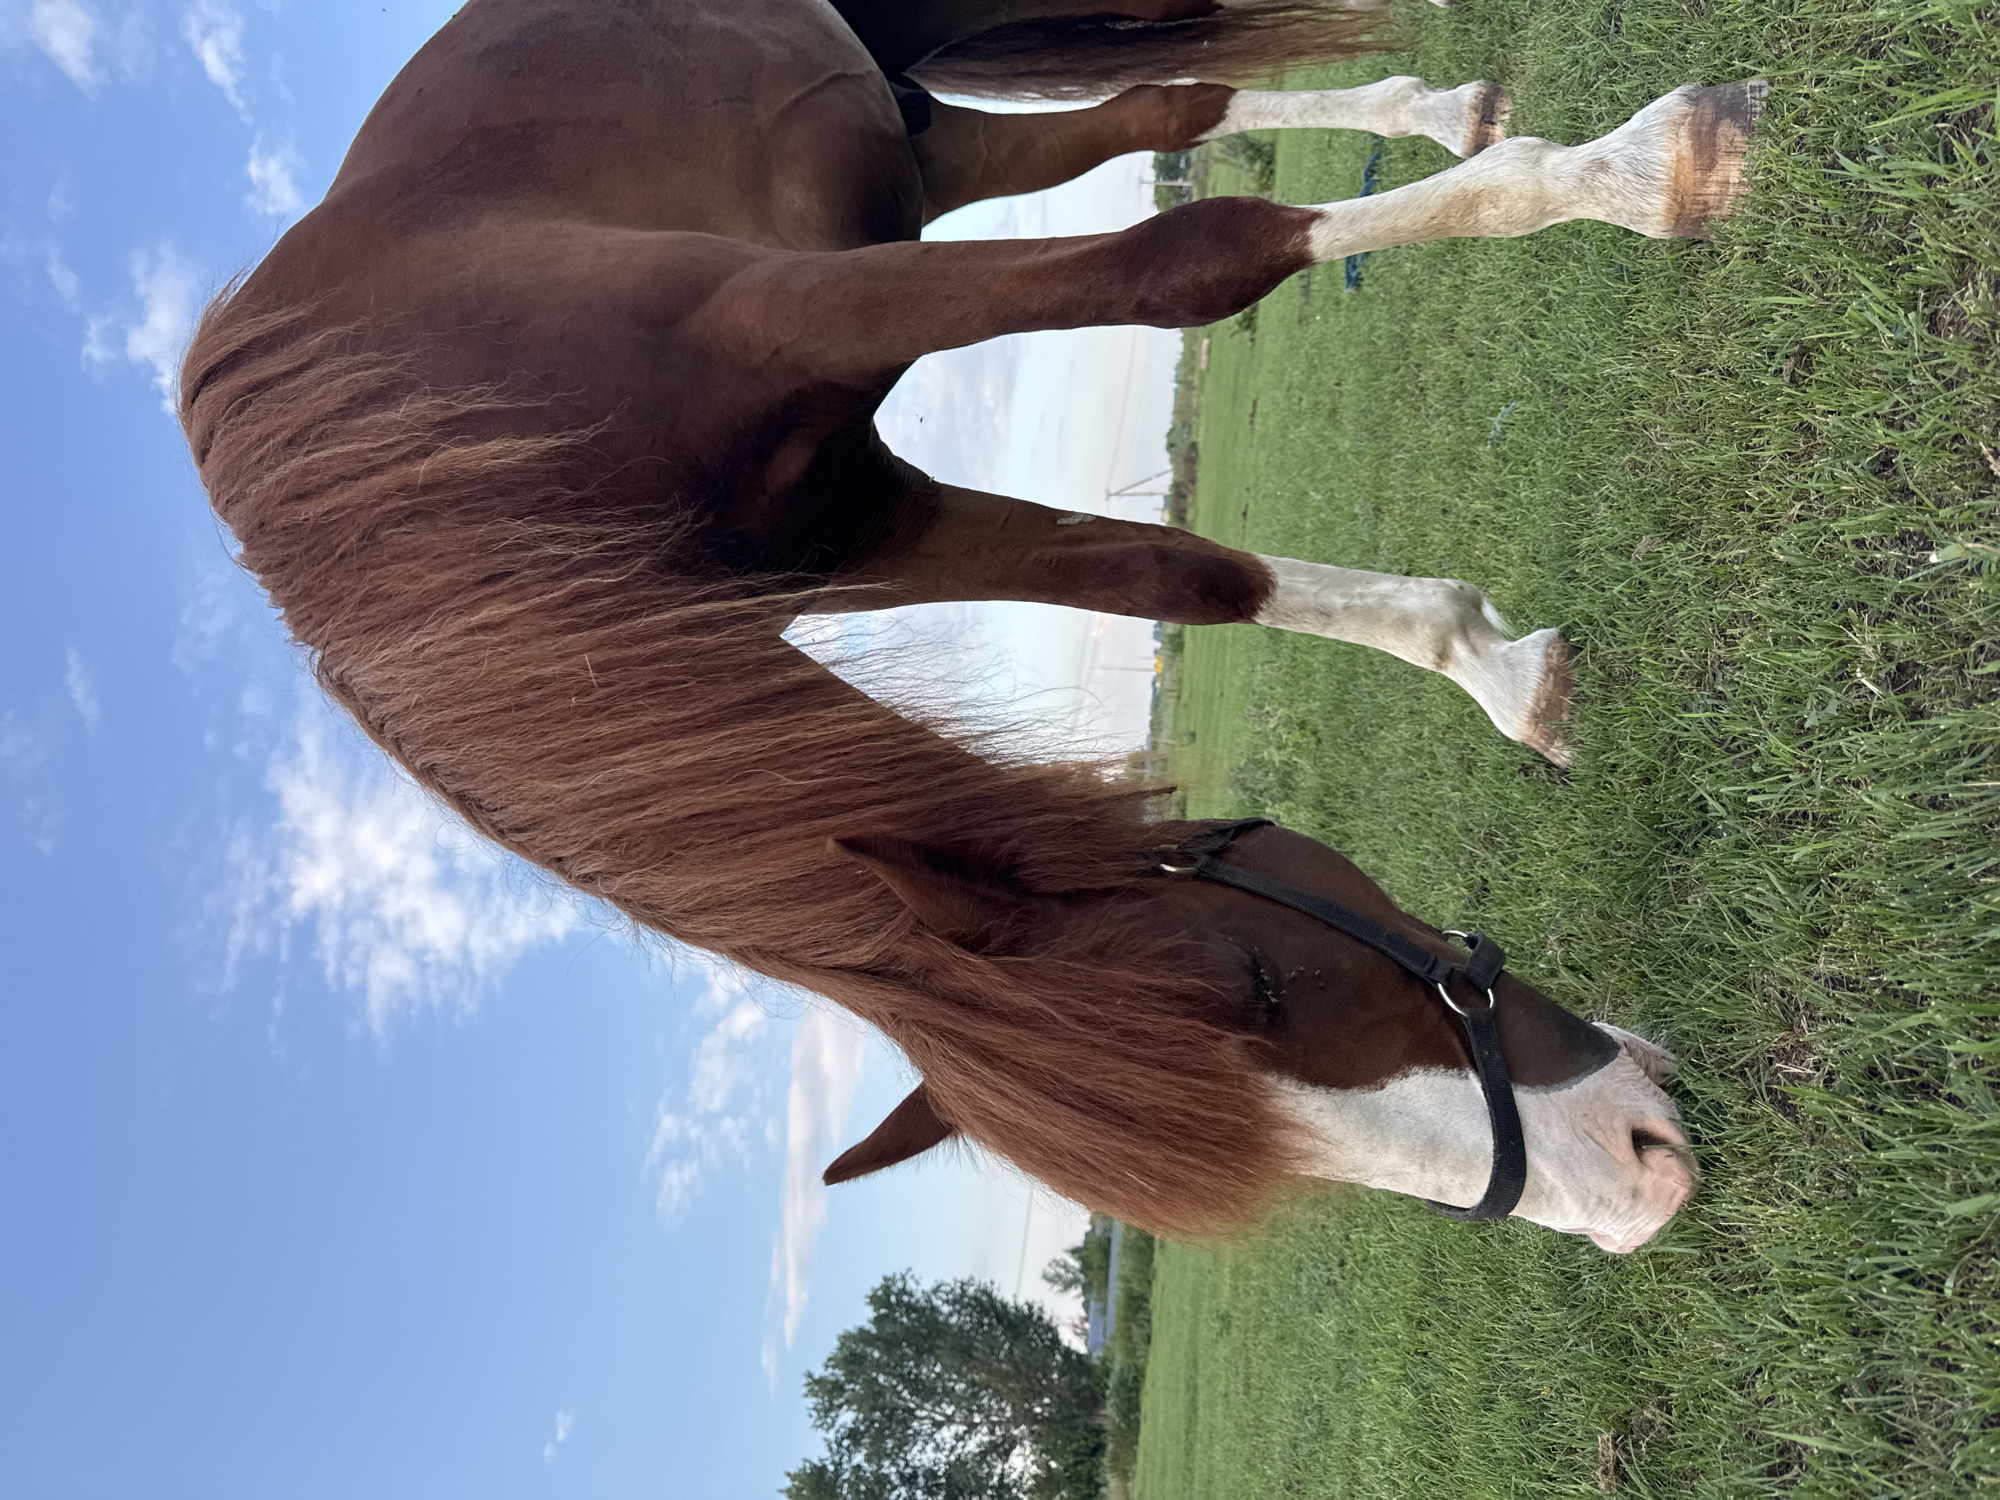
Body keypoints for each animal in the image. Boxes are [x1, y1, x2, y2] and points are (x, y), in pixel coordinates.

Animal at [179, 0, 1758, 1251]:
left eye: (1251, 978)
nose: (1636, 1188)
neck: (441, 465)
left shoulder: (788, 310)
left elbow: (1192, 259)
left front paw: (1636, 172)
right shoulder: (874, 535)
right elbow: (1186, 581)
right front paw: (1494, 668)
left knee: (1165, 117)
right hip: (926, 151)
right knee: (1164, 108)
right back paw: (1431, 112)